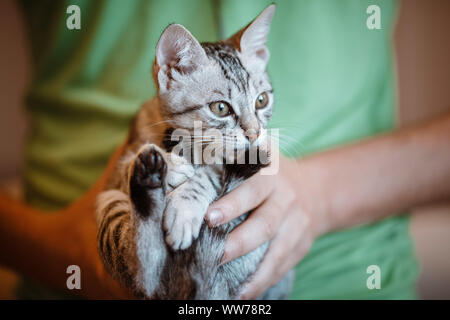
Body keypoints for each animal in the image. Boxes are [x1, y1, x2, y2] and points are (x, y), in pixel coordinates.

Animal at [95, 5, 296, 298]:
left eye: (262, 100)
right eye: (221, 108)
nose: (254, 133)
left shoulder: (244, 160)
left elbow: (210, 173)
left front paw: (184, 206)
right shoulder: (119, 167)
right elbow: (129, 162)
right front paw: (171, 166)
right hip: (108, 202)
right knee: (142, 273)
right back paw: (150, 177)